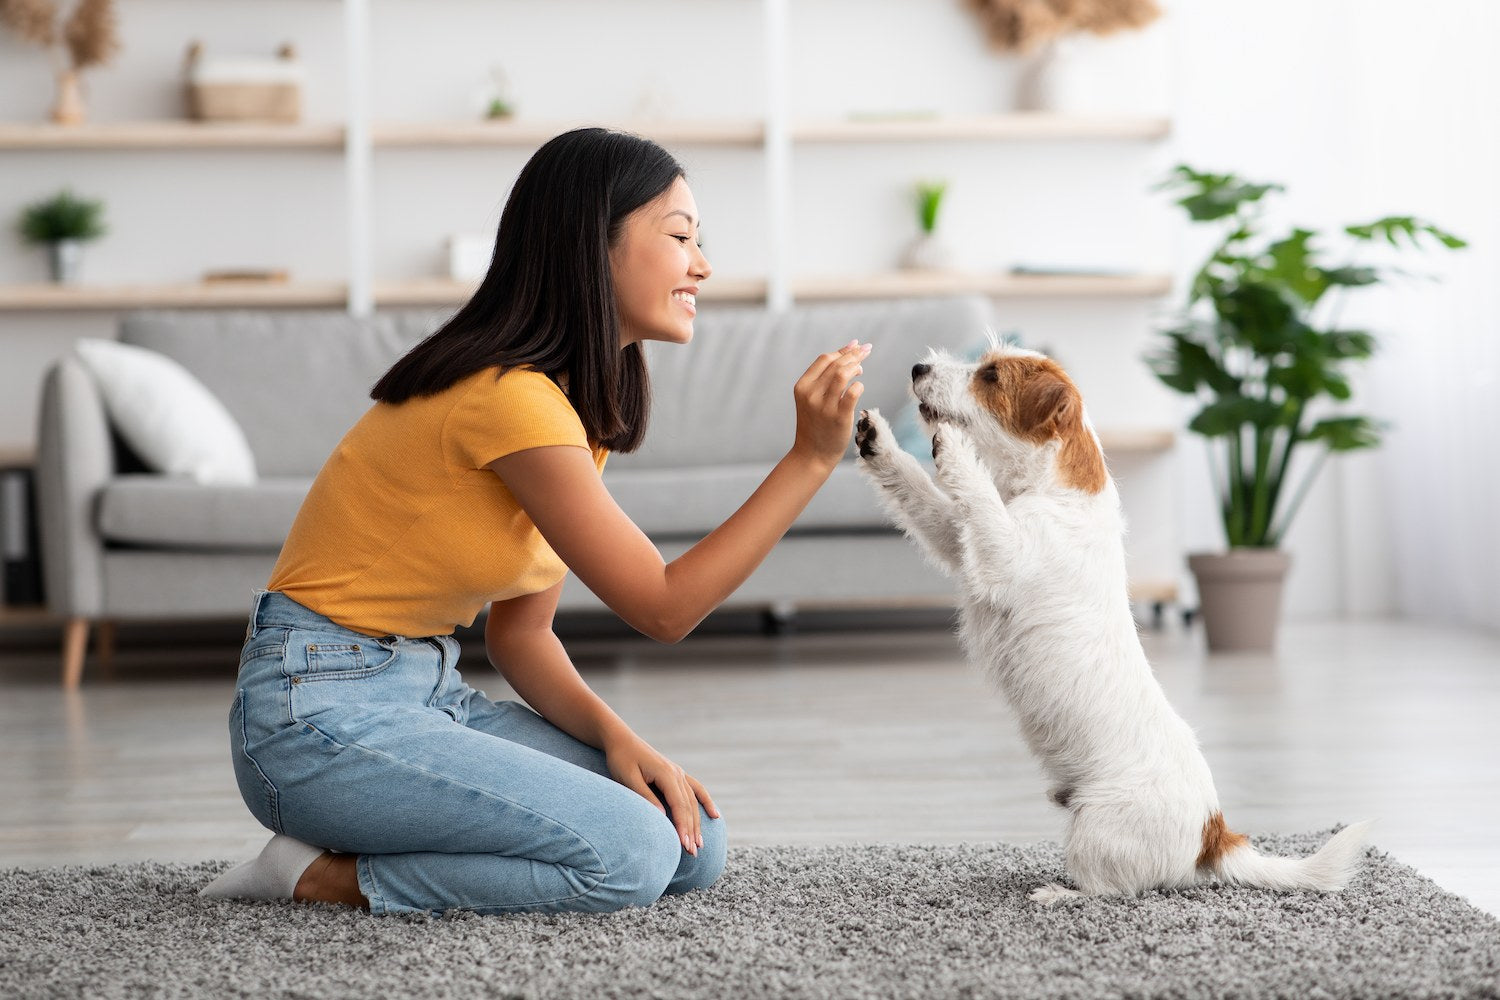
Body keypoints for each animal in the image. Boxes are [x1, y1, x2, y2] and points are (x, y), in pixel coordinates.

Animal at [858, 341, 1374, 905]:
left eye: (990, 376)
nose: (917, 368)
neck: (1050, 489)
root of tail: (1212, 836)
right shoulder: (959, 541)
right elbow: (924, 498)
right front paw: (878, 440)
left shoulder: (1003, 553)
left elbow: (979, 499)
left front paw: (953, 448)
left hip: (1095, 827)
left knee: (1109, 891)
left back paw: (1057, 894)